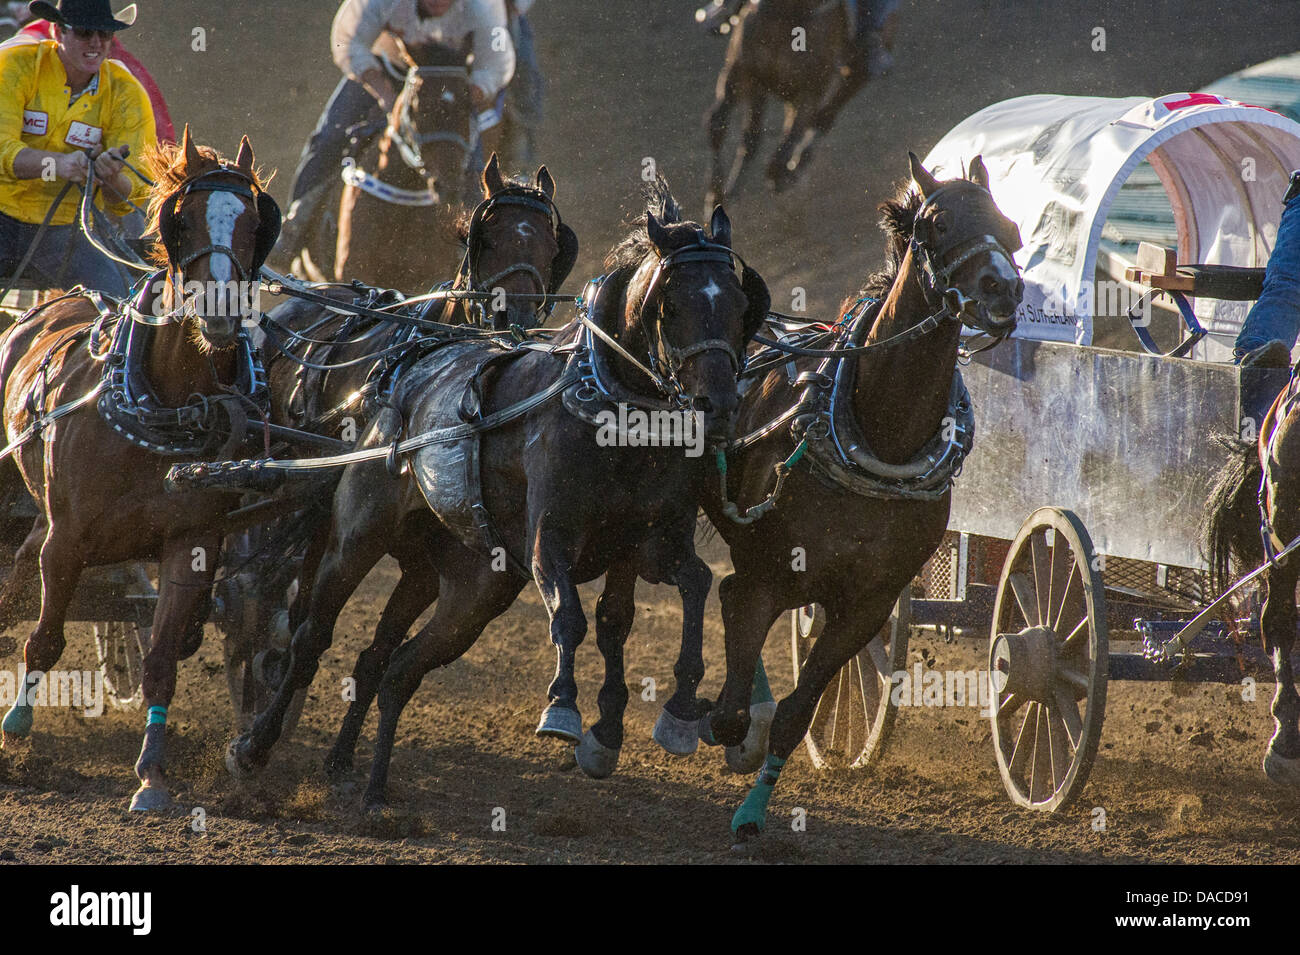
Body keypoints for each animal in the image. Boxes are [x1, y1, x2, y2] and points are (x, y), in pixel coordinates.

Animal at [0, 128, 282, 815]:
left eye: (256, 222)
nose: (220, 313)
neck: (166, 404)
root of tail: (54, 302)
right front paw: (16, 726)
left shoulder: (192, 544)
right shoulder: (69, 539)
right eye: (182, 220)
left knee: (18, 563)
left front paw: (152, 775)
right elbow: (46, 637)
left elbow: (161, 661)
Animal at [224, 180, 769, 815]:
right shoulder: (548, 536)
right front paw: (563, 709)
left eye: (740, 307)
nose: (720, 406)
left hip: (473, 586)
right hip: (359, 535)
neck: (613, 414)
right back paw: (255, 745)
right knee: (311, 635)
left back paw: (366, 782)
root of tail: (408, 368)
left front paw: (679, 711)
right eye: (672, 306)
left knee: (396, 667)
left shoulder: (651, 543)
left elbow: (692, 586)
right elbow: (570, 615)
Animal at [696, 155, 1019, 836]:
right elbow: (737, 662)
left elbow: (799, 710)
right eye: (938, 221)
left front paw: (754, 807)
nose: (1003, 289)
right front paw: (733, 736)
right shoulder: (775, 571)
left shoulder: (870, 601)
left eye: (1010, 226)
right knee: (723, 596)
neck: (880, 430)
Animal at [712, 0, 873, 210]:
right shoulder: (747, 74)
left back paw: (796, 166)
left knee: (825, 117)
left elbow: (783, 148)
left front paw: (783, 175)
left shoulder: (810, 92)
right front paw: (717, 195)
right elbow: (727, 129)